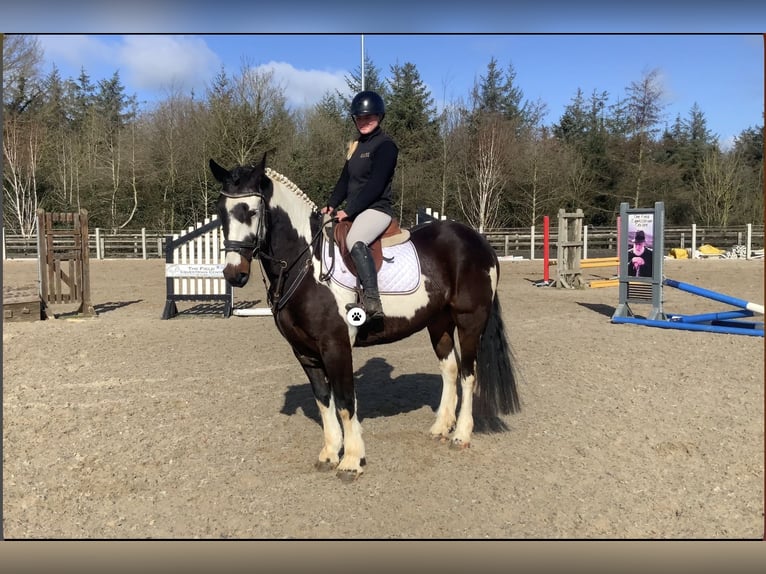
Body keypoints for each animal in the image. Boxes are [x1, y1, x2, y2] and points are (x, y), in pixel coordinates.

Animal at [210, 153, 521, 482]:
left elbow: (346, 402)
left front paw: (351, 461)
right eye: (221, 211)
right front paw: (330, 453)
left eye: (252, 211)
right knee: (449, 370)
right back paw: (439, 428)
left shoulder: (336, 346)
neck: (308, 265)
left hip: (470, 321)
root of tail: (478, 240)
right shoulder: (304, 351)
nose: (234, 274)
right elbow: (324, 401)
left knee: (468, 374)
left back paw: (461, 435)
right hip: (438, 322)